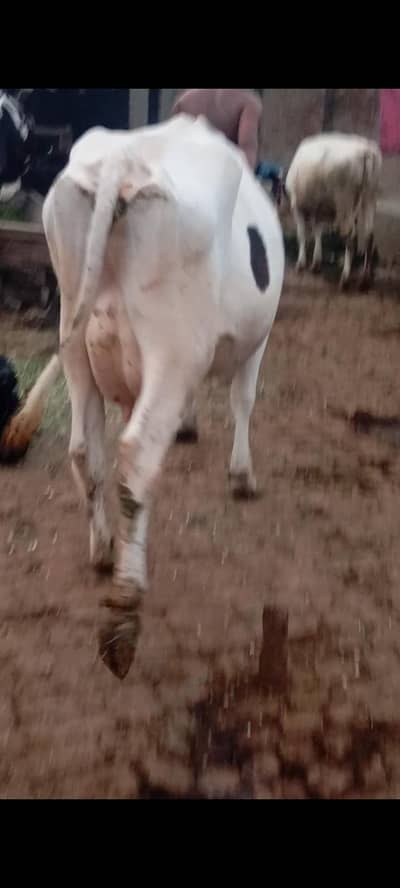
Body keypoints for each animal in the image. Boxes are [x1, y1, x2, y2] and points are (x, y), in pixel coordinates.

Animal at [39, 113, 284, 677]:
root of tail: (120, 161)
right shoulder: (257, 341)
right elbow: (244, 400)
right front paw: (242, 476)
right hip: (174, 353)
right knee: (136, 457)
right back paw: (125, 611)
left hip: (76, 342)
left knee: (87, 449)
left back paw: (105, 551)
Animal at [285, 133, 382, 289]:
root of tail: (365, 150)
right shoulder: (319, 209)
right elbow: (318, 232)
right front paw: (316, 263)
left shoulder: (297, 206)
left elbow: (302, 235)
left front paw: (301, 263)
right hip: (369, 198)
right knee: (368, 235)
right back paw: (365, 279)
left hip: (344, 202)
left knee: (350, 236)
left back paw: (345, 278)